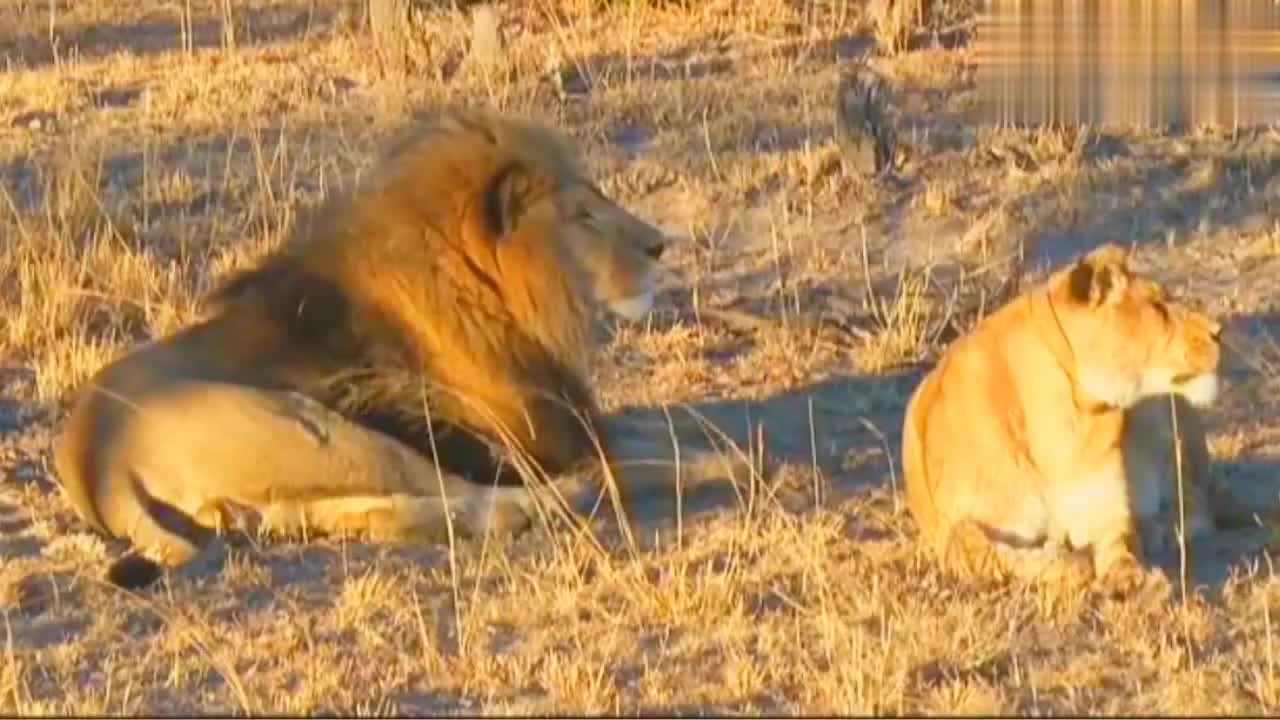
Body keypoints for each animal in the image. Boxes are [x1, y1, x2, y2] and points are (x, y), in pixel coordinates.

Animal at [57, 107, 757, 589]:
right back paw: (569, 498)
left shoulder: (570, 419)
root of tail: (92, 465)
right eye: (582, 216)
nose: (661, 245)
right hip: (316, 429)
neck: (502, 301)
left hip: (293, 484)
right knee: (471, 491)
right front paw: (729, 459)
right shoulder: (538, 440)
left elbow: (664, 434)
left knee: (392, 510)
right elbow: (664, 456)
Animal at [901, 243, 1239, 591]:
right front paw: (1066, 559)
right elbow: (991, 550)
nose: (1219, 331)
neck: (1071, 415)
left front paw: (1136, 577)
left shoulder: (1106, 513)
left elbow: (1123, 544)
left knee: (1197, 503)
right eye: (1158, 307)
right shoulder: (950, 531)